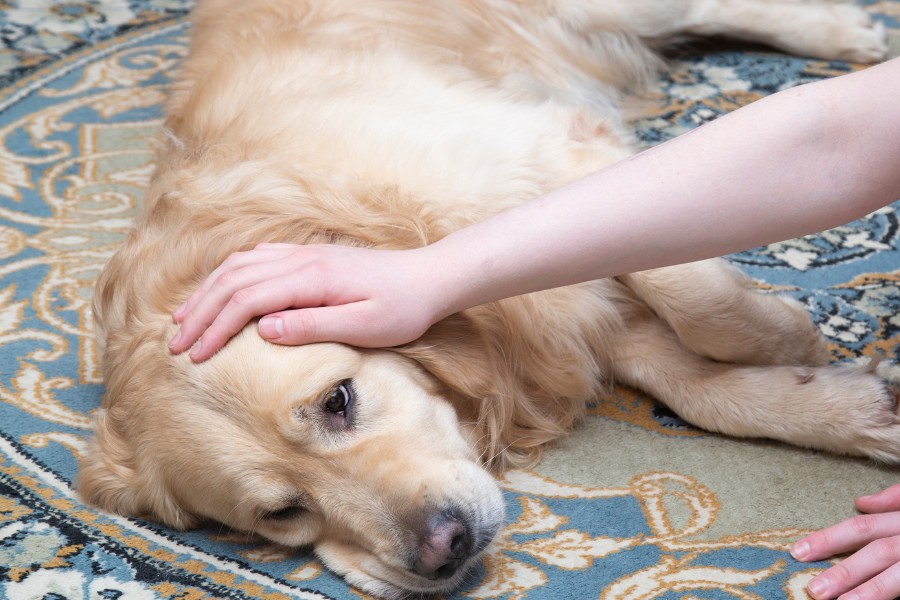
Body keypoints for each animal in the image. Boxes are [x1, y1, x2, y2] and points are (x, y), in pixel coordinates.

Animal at [79, 1, 892, 596]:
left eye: (339, 400)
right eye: (281, 512)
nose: (443, 549)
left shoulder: (552, 153)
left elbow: (688, 290)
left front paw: (784, 334)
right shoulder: (563, 319)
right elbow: (694, 385)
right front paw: (845, 407)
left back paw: (848, 34)